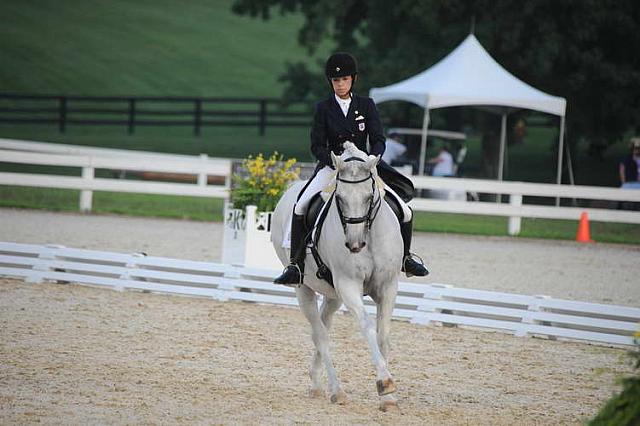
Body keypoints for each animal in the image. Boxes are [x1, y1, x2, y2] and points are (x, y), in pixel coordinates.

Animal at [268, 144, 400, 412]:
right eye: (339, 199)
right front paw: (385, 383)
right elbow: (367, 327)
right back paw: (336, 391)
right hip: (304, 288)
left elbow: (383, 334)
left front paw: (387, 398)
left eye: (369, 198)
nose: (354, 244)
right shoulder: (348, 286)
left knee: (322, 326)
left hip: (332, 294)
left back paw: (316, 383)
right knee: (320, 334)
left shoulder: (388, 286)